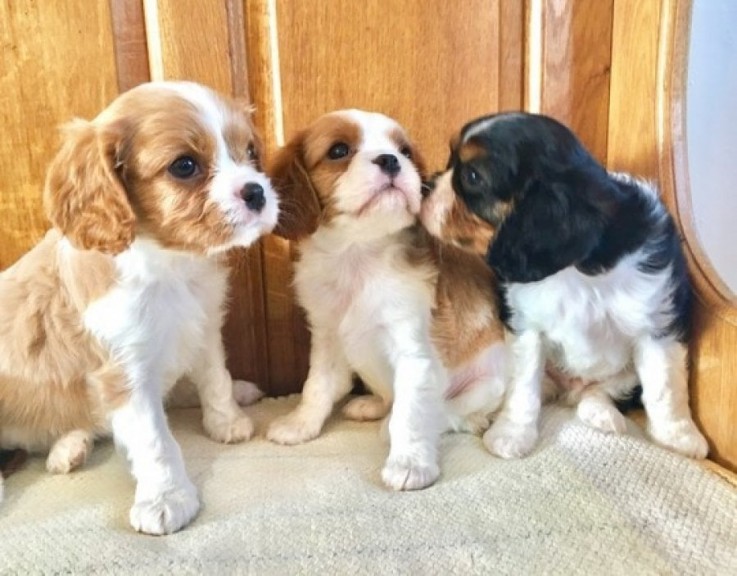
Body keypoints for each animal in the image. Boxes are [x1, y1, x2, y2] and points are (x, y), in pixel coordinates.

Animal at [0, 82, 278, 536]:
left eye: (250, 152)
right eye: (184, 166)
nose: (256, 191)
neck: (171, 263)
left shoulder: (203, 326)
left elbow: (214, 378)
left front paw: (226, 420)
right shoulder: (125, 370)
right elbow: (154, 440)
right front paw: (167, 499)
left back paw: (69, 447)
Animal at [264, 109, 506, 490]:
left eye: (404, 151)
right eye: (338, 150)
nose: (391, 160)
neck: (358, 256)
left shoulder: (414, 355)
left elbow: (410, 415)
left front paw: (410, 463)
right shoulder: (327, 339)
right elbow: (316, 386)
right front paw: (300, 424)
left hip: (487, 382)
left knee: (451, 412)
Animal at [422, 112, 712, 462]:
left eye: (473, 176)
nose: (424, 185)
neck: (577, 270)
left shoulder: (658, 323)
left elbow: (665, 387)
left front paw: (677, 437)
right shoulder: (525, 326)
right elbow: (523, 388)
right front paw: (511, 434)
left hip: (624, 376)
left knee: (601, 392)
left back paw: (602, 414)